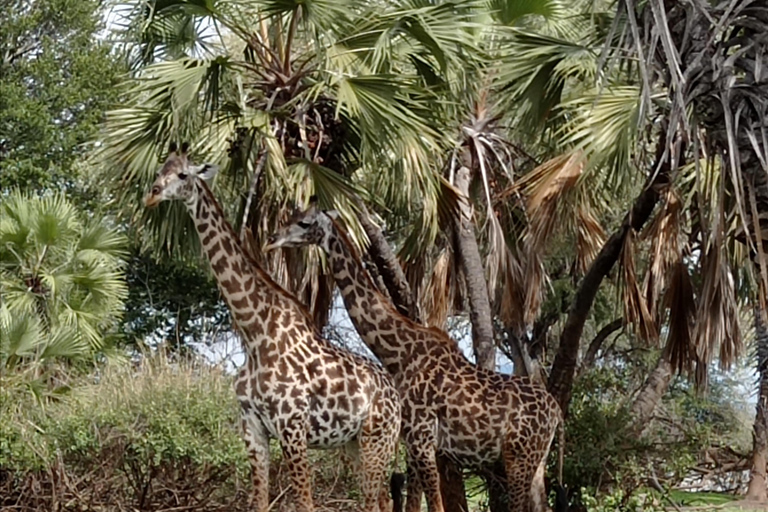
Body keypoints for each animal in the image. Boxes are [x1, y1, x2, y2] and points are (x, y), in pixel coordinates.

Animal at [142, 143, 402, 512]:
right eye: (159, 169)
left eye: (182, 174)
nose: (152, 194)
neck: (256, 333)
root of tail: (395, 393)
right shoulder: (252, 428)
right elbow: (259, 502)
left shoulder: (292, 428)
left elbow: (305, 503)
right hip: (354, 443)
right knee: (380, 499)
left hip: (377, 438)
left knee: (373, 500)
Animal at [266, 202, 564, 512]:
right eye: (292, 215)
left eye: (304, 222)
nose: (273, 238)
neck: (398, 354)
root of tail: (557, 414)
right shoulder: (412, 440)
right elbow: (413, 502)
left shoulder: (421, 436)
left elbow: (434, 503)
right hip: (536, 460)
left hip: (518, 456)